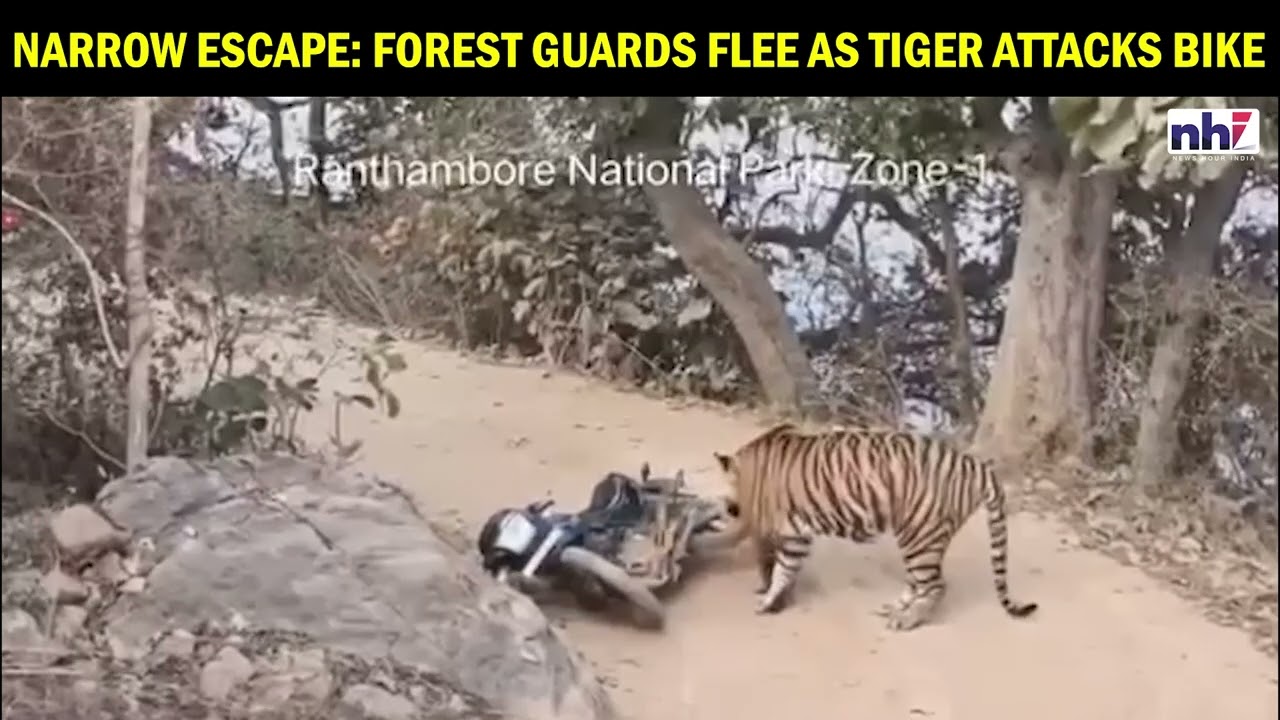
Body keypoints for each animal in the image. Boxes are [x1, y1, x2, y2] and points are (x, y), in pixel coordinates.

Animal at [711, 422, 1038, 631]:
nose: (728, 510)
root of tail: (977, 465)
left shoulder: (787, 531)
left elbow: (779, 567)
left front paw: (767, 600)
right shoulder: (798, 534)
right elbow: (785, 568)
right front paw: (774, 597)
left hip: (919, 534)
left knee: (935, 585)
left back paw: (906, 620)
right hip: (921, 538)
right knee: (919, 582)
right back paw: (894, 607)